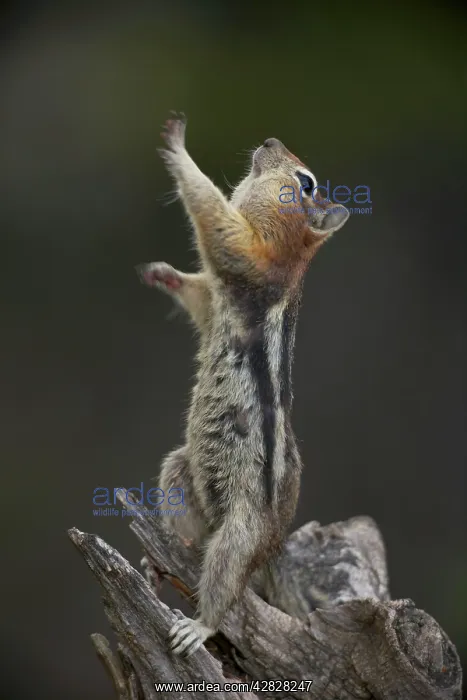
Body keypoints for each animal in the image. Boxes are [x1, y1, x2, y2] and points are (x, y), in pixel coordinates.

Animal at [136, 114, 349, 657]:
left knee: (226, 581)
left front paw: (177, 147)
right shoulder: (215, 299)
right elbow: (197, 294)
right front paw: (161, 273)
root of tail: (273, 547)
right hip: (180, 472)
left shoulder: (251, 254)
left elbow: (214, 219)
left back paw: (199, 626)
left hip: (243, 530)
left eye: (306, 183)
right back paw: (158, 561)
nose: (271, 140)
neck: (294, 257)